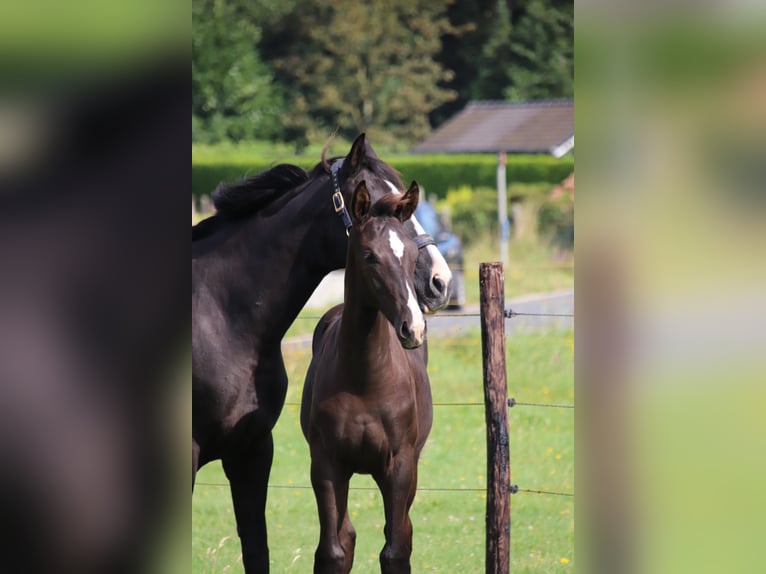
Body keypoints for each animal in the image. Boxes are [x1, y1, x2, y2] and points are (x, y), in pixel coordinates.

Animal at [304, 182, 436, 572]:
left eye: (412, 256)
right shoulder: (326, 464)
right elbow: (333, 551)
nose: (414, 328)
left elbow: (395, 549)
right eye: (368, 255)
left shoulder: (400, 465)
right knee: (345, 535)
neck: (366, 380)